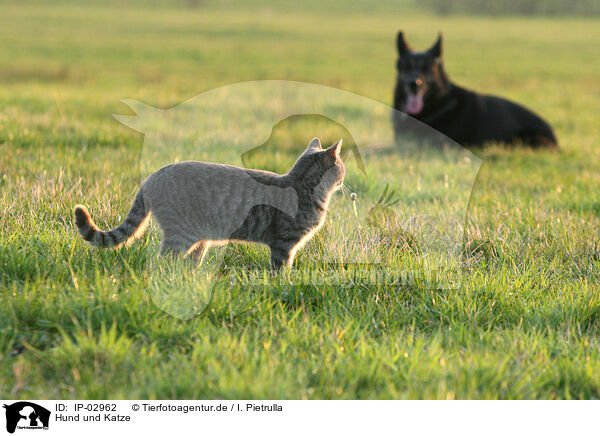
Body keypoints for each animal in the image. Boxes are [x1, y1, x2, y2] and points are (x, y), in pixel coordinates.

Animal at [76, 139, 342, 270]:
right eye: (341, 167)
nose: (344, 177)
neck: (303, 187)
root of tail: (151, 177)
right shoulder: (283, 244)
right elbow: (281, 271)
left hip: (198, 241)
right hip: (181, 235)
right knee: (165, 261)